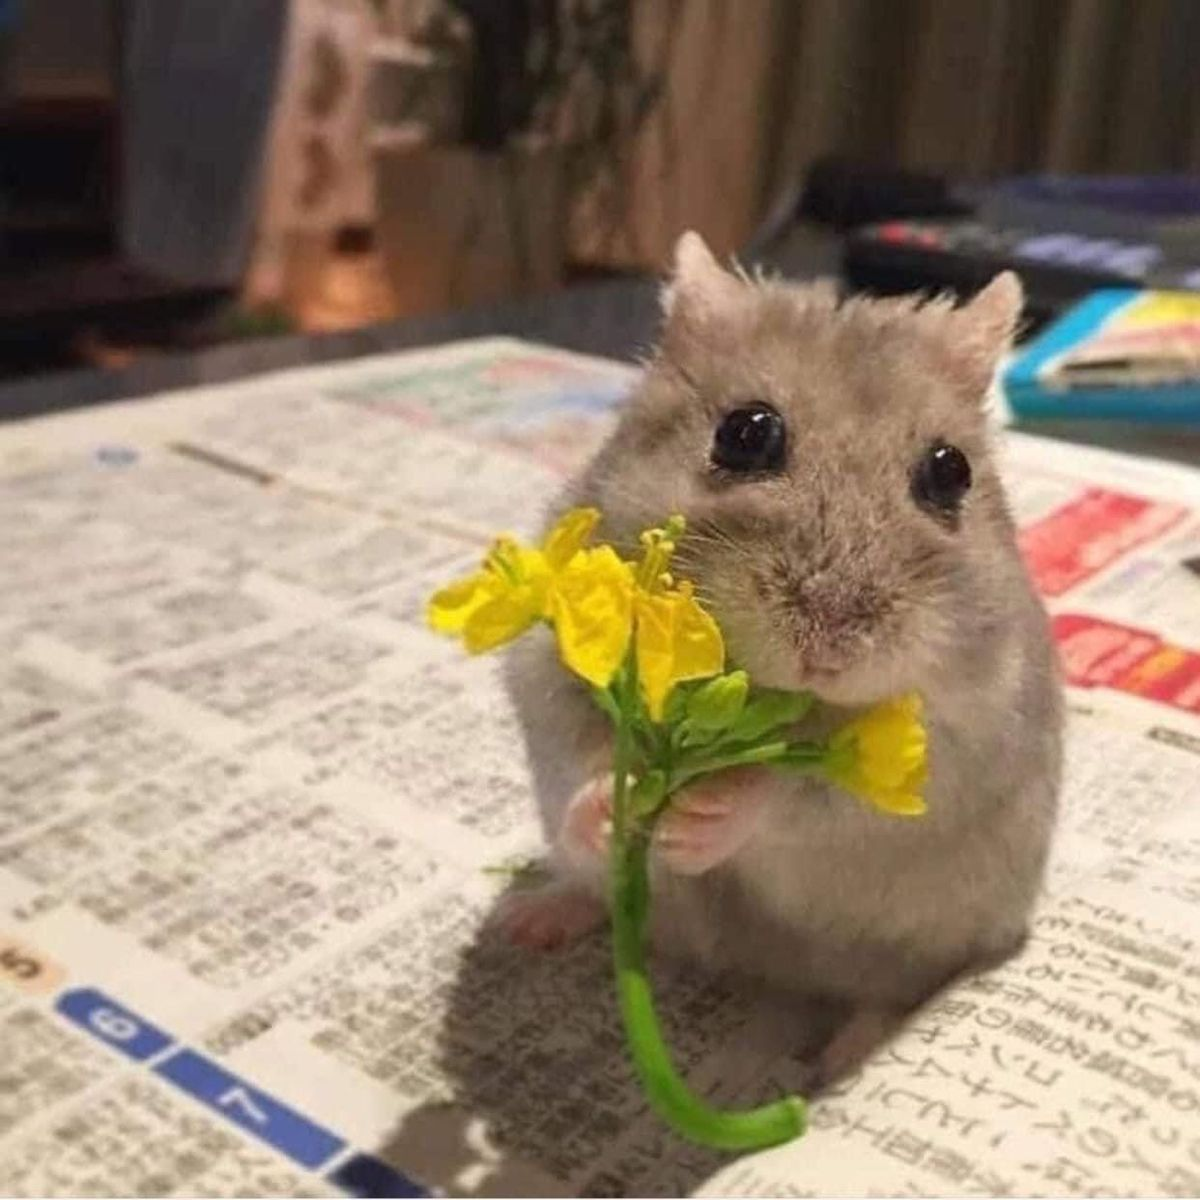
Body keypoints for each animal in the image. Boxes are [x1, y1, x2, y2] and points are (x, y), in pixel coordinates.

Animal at [501, 231, 1063, 1081]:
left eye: (951, 472)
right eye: (745, 432)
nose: (827, 642)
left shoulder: (961, 743)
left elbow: (794, 795)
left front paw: (702, 821)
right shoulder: (548, 667)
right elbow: (585, 748)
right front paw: (616, 805)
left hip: (930, 939)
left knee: (887, 992)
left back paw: (840, 1060)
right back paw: (531, 921)